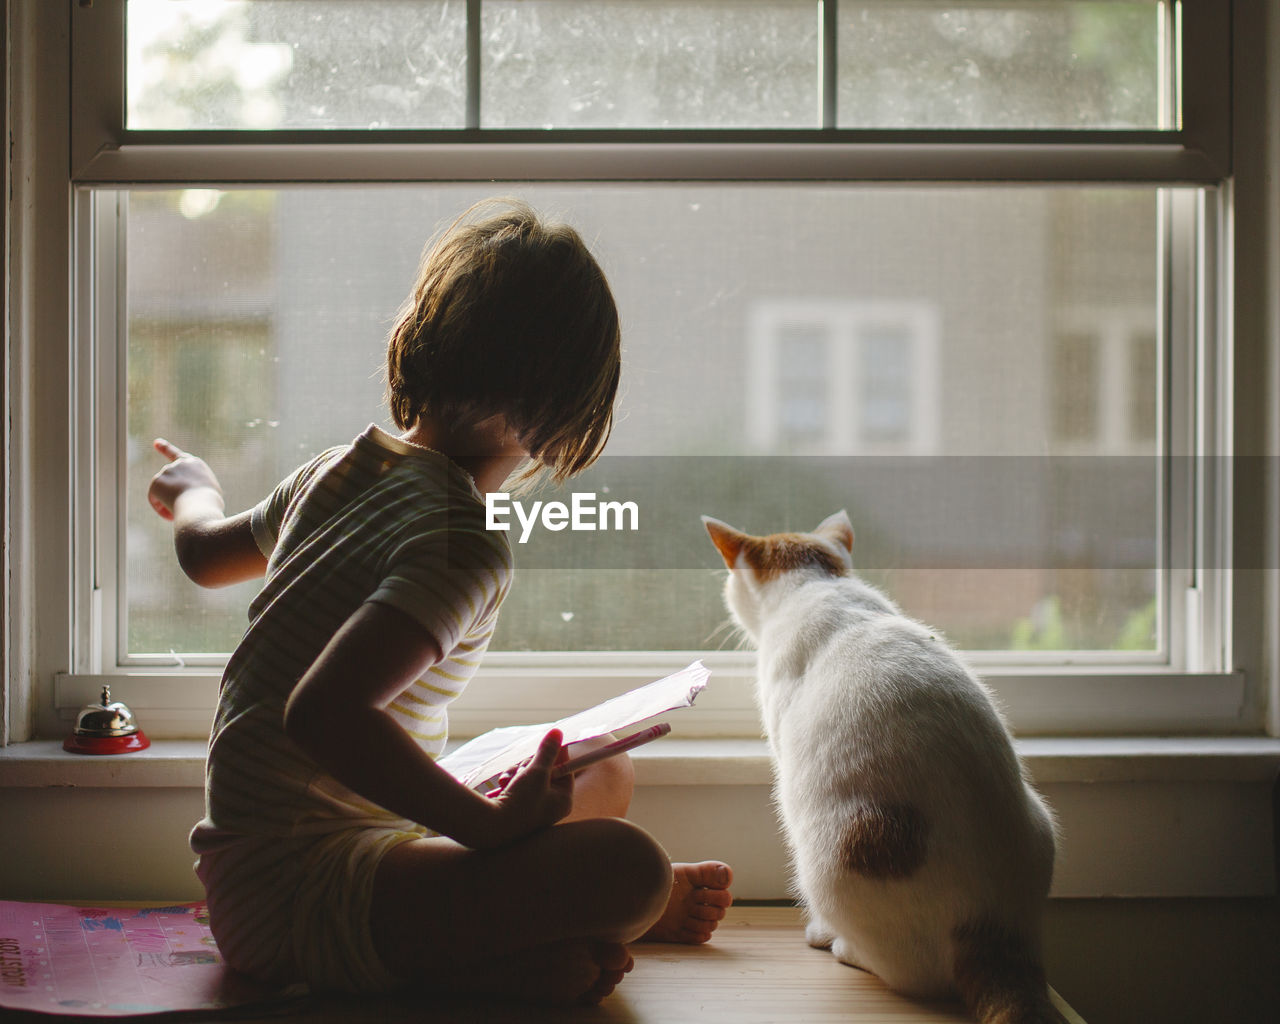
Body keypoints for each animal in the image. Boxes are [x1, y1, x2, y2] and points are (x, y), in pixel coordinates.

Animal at [706, 506, 1064, 1018]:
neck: (818, 584)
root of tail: (991, 931)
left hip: (827, 860)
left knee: (905, 974)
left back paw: (835, 943)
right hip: (1042, 821)